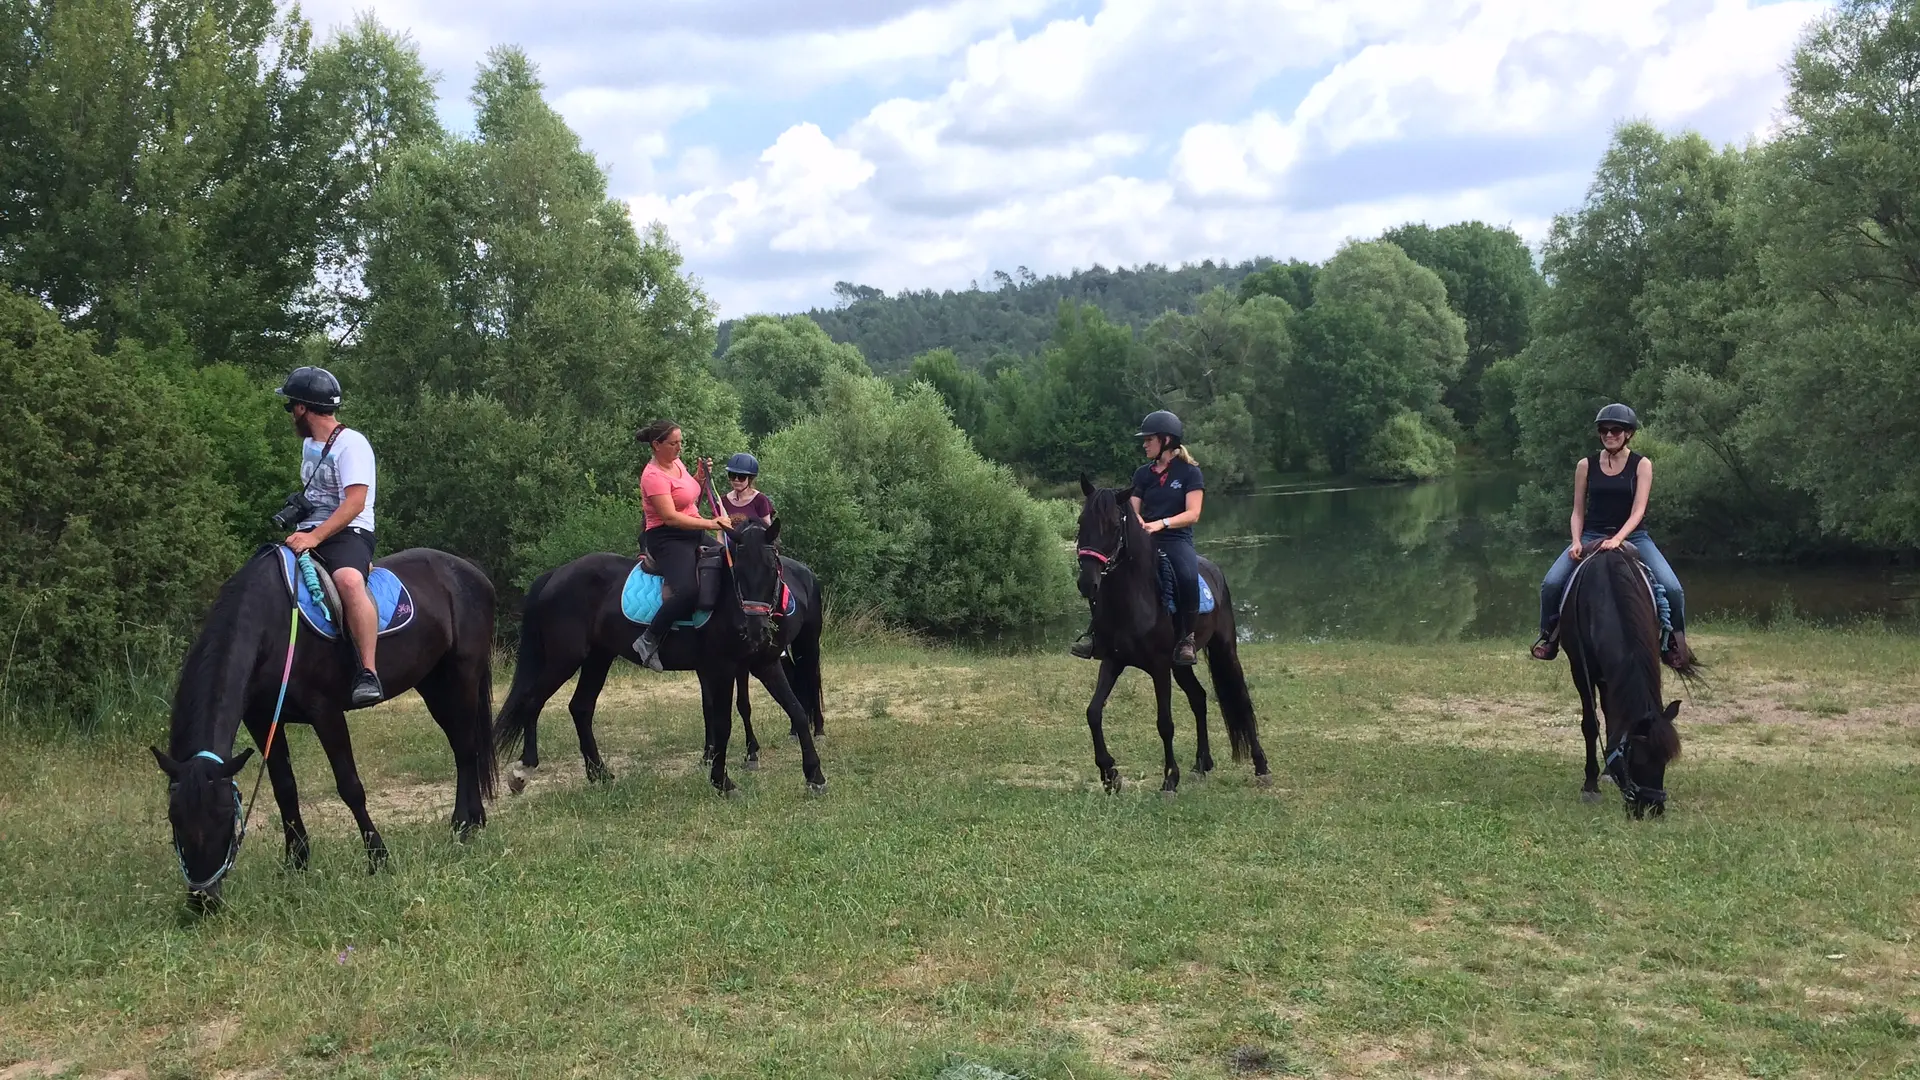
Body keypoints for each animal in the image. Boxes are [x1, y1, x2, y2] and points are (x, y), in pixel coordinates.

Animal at [152, 541, 495, 903]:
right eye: (174, 818)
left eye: (225, 815)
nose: (203, 900)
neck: (271, 626)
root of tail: (470, 570)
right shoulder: (262, 720)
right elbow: (285, 788)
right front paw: (296, 861)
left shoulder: (325, 713)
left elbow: (350, 787)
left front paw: (378, 858)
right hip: (433, 683)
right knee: (462, 746)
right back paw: (475, 821)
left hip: (462, 676)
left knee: (464, 749)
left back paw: (463, 826)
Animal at [495, 518, 825, 795]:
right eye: (738, 571)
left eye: (772, 568)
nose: (755, 630)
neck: (727, 602)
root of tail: (555, 575)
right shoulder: (721, 669)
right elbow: (722, 723)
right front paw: (723, 781)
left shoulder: (764, 664)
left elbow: (796, 709)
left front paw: (815, 776)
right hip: (565, 659)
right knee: (533, 701)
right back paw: (523, 770)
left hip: (598, 658)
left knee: (580, 708)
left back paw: (599, 773)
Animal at [1075, 478, 1267, 791]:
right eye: (1081, 521)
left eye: (1115, 526)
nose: (1086, 583)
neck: (1134, 600)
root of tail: (1213, 569)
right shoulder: (1113, 662)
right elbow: (1093, 712)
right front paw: (1109, 774)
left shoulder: (1159, 667)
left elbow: (1164, 723)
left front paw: (1169, 779)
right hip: (1181, 665)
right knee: (1199, 698)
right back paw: (1202, 764)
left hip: (1223, 649)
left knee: (1240, 697)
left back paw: (1261, 766)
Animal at [1559, 541, 1697, 810]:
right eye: (1636, 761)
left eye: (1665, 761)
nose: (1653, 809)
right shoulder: (1580, 669)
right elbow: (1590, 725)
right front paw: (1590, 786)